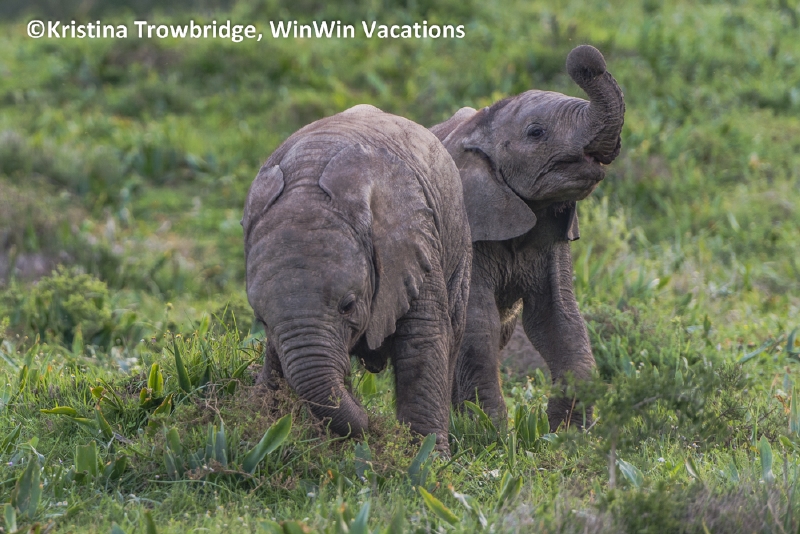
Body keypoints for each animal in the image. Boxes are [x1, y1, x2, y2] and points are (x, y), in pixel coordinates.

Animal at [243, 105, 471, 451]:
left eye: (347, 306)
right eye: (262, 321)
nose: (370, 422)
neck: (307, 182)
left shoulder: (416, 244)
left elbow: (422, 340)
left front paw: (425, 458)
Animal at [429, 45, 625, 430]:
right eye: (536, 133)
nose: (585, 56)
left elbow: (559, 318)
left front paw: (566, 432)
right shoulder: (470, 229)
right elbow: (478, 324)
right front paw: (490, 431)